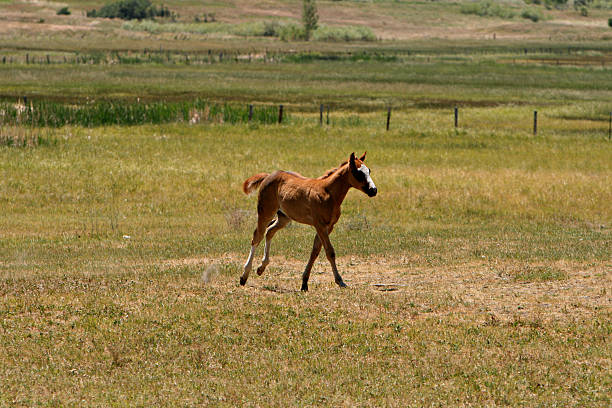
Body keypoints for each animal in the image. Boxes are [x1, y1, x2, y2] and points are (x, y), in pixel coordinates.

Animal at [240, 152, 376, 290]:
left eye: (369, 171)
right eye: (357, 172)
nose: (373, 190)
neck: (328, 192)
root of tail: (268, 176)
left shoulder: (329, 226)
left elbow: (315, 251)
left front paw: (304, 282)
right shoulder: (319, 225)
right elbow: (330, 252)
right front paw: (340, 281)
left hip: (284, 217)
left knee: (270, 231)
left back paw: (261, 268)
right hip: (265, 212)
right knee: (257, 237)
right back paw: (244, 276)